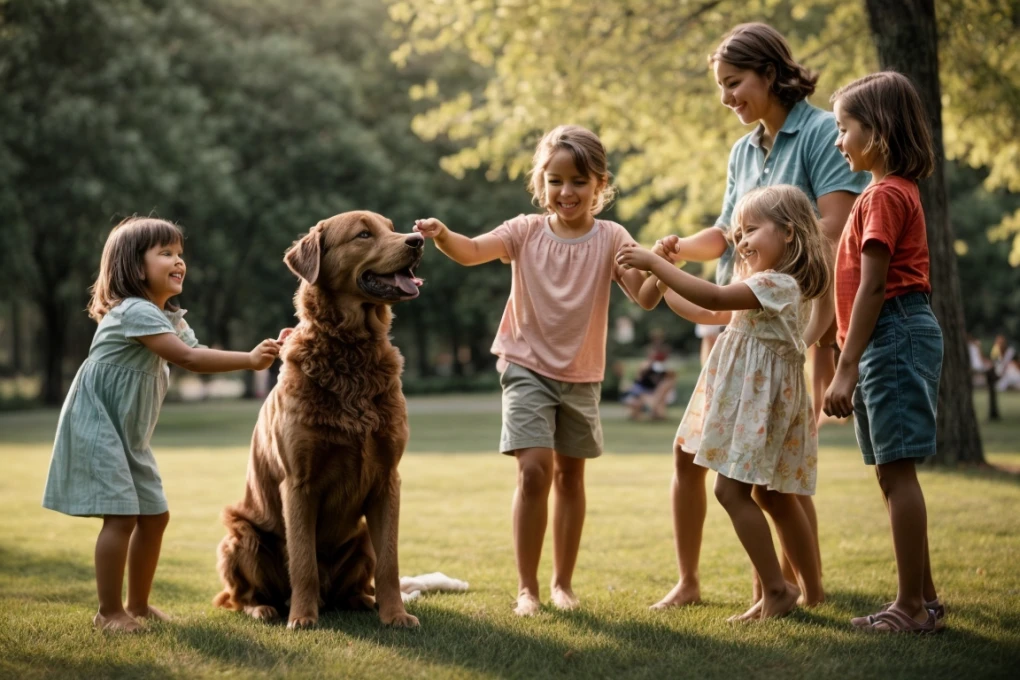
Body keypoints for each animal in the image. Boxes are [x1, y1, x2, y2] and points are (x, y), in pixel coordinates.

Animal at [213, 210, 424, 632]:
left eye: (393, 228)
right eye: (363, 234)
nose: (417, 241)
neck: (351, 353)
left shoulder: (387, 480)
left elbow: (390, 563)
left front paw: (395, 615)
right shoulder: (298, 482)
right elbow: (303, 561)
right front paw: (302, 618)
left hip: (360, 536)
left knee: (356, 584)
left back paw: (363, 601)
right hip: (240, 534)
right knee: (239, 596)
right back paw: (266, 608)